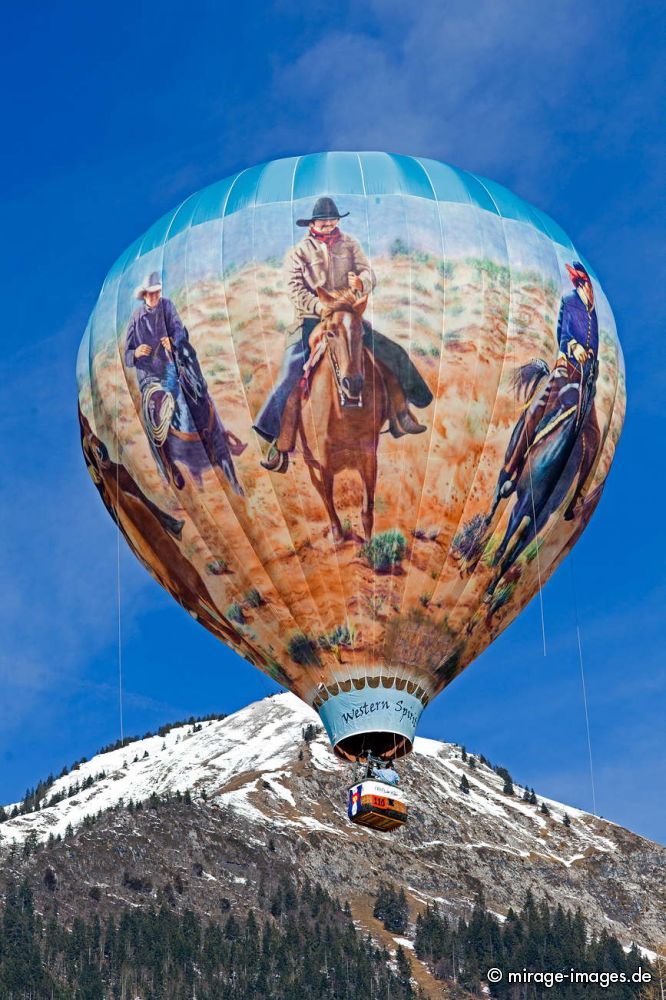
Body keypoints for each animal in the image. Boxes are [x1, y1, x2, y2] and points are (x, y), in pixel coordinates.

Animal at [294, 286, 386, 544]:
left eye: (362, 332)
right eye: (330, 333)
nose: (352, 383)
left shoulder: (369, 458)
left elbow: (367, 510)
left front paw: (370, 545)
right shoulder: (323, 465)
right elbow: (327, 498)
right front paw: (338, 533)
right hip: (309, 460)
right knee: (319, 490)